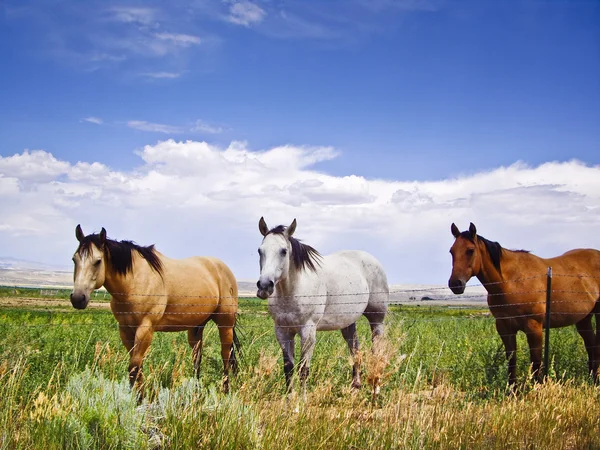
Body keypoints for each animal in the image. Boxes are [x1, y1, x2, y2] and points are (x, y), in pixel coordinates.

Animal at [70, 225, 239, 394]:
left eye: (98, 261)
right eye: (74, 259)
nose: (78, 298)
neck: (134, 282)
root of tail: (223, 269)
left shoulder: (145, 328)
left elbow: (134, 367)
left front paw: (137, 398)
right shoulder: (125, 329)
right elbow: (137, 367)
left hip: (225, 324)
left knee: (225, 354)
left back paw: (225, 389)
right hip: (196, 326)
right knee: (197, 356)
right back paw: (196, 391)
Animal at [256, 217, 390, 390]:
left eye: (283, 251)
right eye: (260, 251)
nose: (264, 286)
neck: (292, 291)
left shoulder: (308, 332)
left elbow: (303, 370)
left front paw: (301, 398)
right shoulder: (282, 331)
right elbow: (288, 369)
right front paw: (289, 396)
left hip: (377, 319)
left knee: (377, 350)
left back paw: (376, 387)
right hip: (348, 322)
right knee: (355, 350)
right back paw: (355, 387)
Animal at [448, 223, 600, 384]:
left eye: (470, 250)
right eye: (452, 251)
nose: (455, 284)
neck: (511, 282)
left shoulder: (534, 327)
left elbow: (536, 362)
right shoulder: (505, 327)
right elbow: (511, 361)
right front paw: (511, 388)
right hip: (583, 319)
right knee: (591, 346)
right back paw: (592, 379)